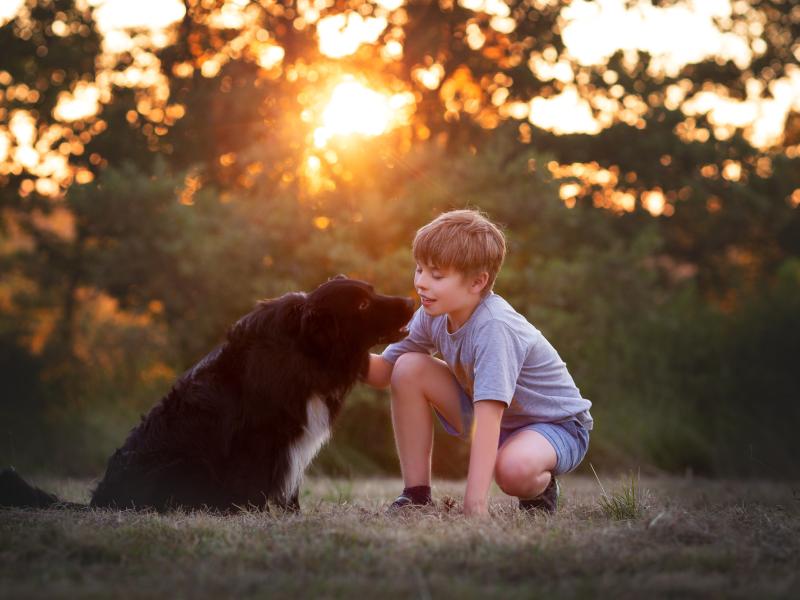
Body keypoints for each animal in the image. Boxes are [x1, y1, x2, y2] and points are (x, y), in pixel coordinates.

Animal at [0, 276, 412, 510]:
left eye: (373, 292)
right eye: (362, 304)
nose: (410, 301)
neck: (305, 349)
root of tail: (102, 499)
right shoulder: (260, 436)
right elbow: (257, 478)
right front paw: (252, 512)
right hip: (187, 464)